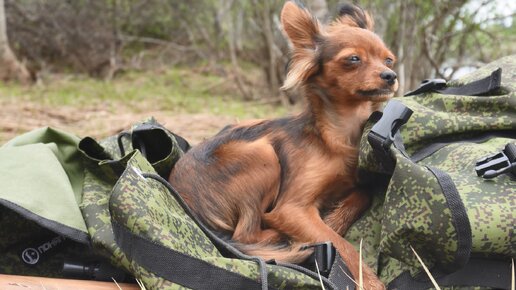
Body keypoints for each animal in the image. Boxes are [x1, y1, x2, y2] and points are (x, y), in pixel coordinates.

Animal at [171, 1, 398, 288]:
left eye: (388, 59)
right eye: (353, 59)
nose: (391, 75)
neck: (335, 136)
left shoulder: (355, 183)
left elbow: (360, 196)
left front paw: (334, 218)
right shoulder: (290, 209)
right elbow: (340, 243)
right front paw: (369, 280)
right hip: (263, 154)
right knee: (246, 235)